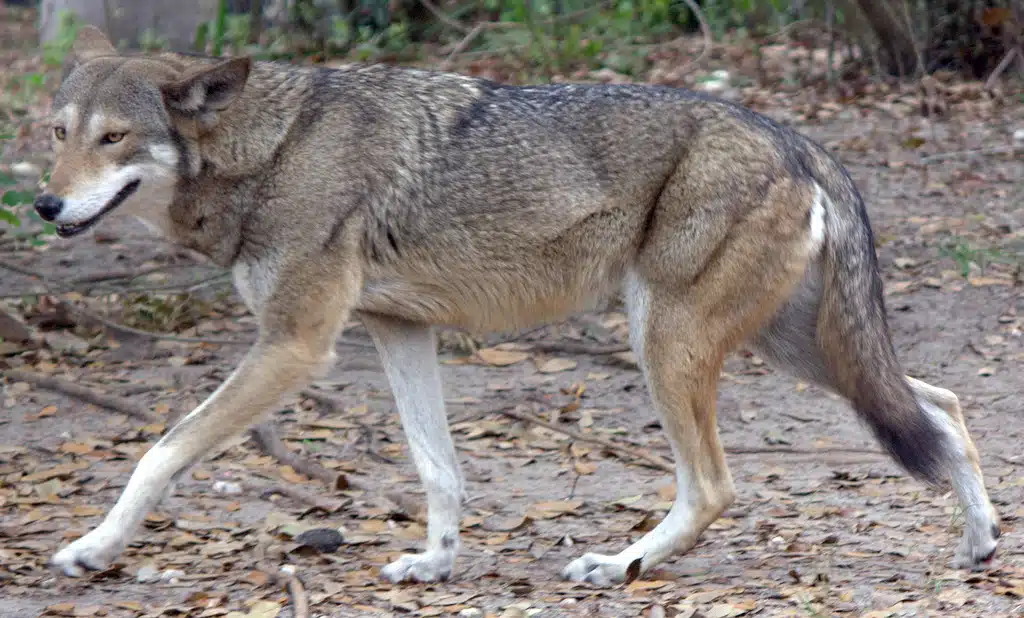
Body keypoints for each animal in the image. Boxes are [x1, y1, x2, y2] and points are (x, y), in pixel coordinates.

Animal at [38, 25, 999, 586]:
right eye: (57, 133)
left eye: (114, 138)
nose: (45, 205)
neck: (271, 150)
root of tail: (796, 137)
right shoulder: (397, 331)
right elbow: (438, 468)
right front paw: (435, 563)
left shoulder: (295, 344)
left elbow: (161, 451)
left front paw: (94, 549)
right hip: (793, 350)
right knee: (942, 404)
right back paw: (981, 543)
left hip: (671, 345)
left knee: (716, 486)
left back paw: (620, 563)